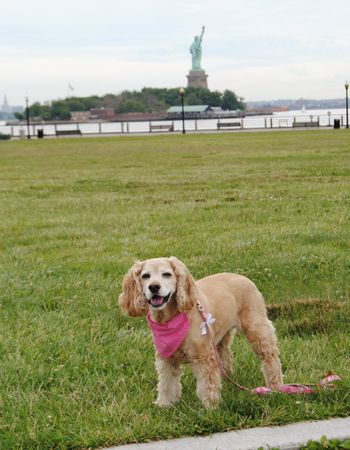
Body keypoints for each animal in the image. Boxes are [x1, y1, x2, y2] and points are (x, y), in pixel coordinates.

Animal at [119, 256, 284, 408]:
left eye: (167, 274)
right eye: (145, 276)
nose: (154, 287)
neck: (169, 319)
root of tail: (245, 278)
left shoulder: (204, 356)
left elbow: (207, 385)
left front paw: (210, 407)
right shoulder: (166, 358)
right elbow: (167, 383)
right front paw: (164, 405)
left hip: (257, 329)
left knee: (270, 358)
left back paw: (276, 386)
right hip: (221, 336)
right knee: (225, 354)